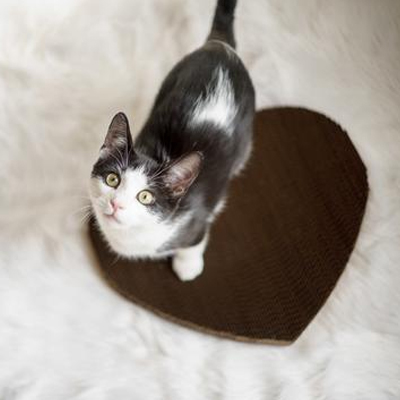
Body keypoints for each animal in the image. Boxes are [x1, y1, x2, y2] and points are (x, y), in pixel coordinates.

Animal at [89, 0, 255, 282]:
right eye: (112, 179)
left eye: (145, 196)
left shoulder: (196, 222)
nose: (115, 203)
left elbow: (195, 241)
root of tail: (220, 47)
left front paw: (188, 266)